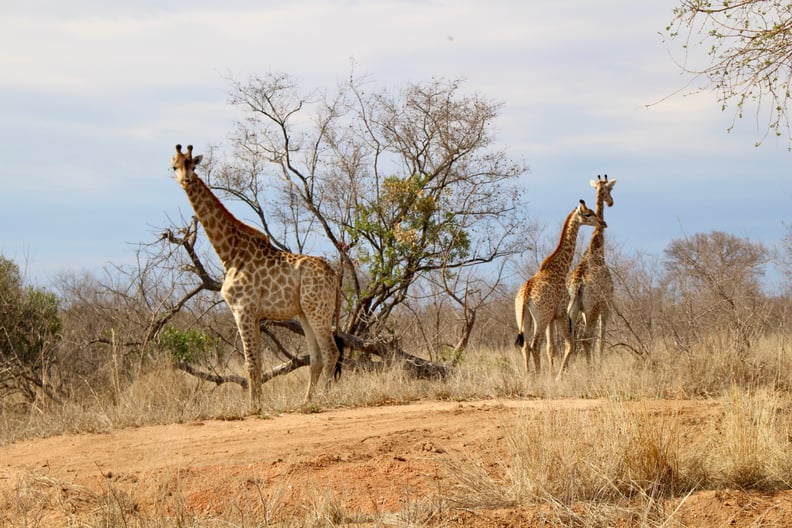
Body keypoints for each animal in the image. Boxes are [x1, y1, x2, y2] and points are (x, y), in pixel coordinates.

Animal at [170, 144, 344, 412]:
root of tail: (334, 276)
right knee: (316, 357)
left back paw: (324, 400)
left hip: (318, 310)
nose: (186, 180)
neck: (229, 252)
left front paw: (253, 408)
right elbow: (258, 363)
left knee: (330, 352)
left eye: (192, 165)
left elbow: (251, 363)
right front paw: (258, 404)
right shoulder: (254, 314)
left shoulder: (242, 309)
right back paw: (306, 402)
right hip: (305, 312)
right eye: (174, 166)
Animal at [512, 200, 608, 378]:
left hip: (523, 317)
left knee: (525, 346)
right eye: (588, 214)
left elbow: (552, 348)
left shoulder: (552, 317)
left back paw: (529, 376)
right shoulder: (561, 312)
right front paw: (557, 377)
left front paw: (553, 374)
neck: (560, 268)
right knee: (535, 344)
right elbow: (570, 344)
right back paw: (538, 376)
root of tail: (526, 294)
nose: (603, 223)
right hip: (541, 318)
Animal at [568, 175, 616, 366]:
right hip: (592, 308)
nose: (611, 202)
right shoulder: (606, 305)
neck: (596, 250)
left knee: (573, 339)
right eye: (610, 189)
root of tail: (577, 283)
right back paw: (591, 368)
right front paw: (600, 363)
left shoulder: (584, 310)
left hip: (573, 310)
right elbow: (600, 338)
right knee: (586, 338)